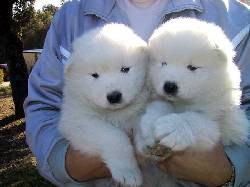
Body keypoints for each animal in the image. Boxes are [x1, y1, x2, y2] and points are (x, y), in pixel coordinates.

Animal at [58, 23, 148, 187]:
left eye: (125, 69)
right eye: (95, 75)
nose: (114, 96)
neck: (116, 113)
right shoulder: (79, 122)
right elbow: (114, 137)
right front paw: (128, 173)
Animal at [139, 17, 248, 159]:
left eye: (192, 67)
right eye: (163, 63)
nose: (169, 86)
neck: (183, 103)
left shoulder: (219, 119)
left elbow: (196, 120)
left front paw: (175, 127)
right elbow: (160, 106)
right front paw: (151, 126)